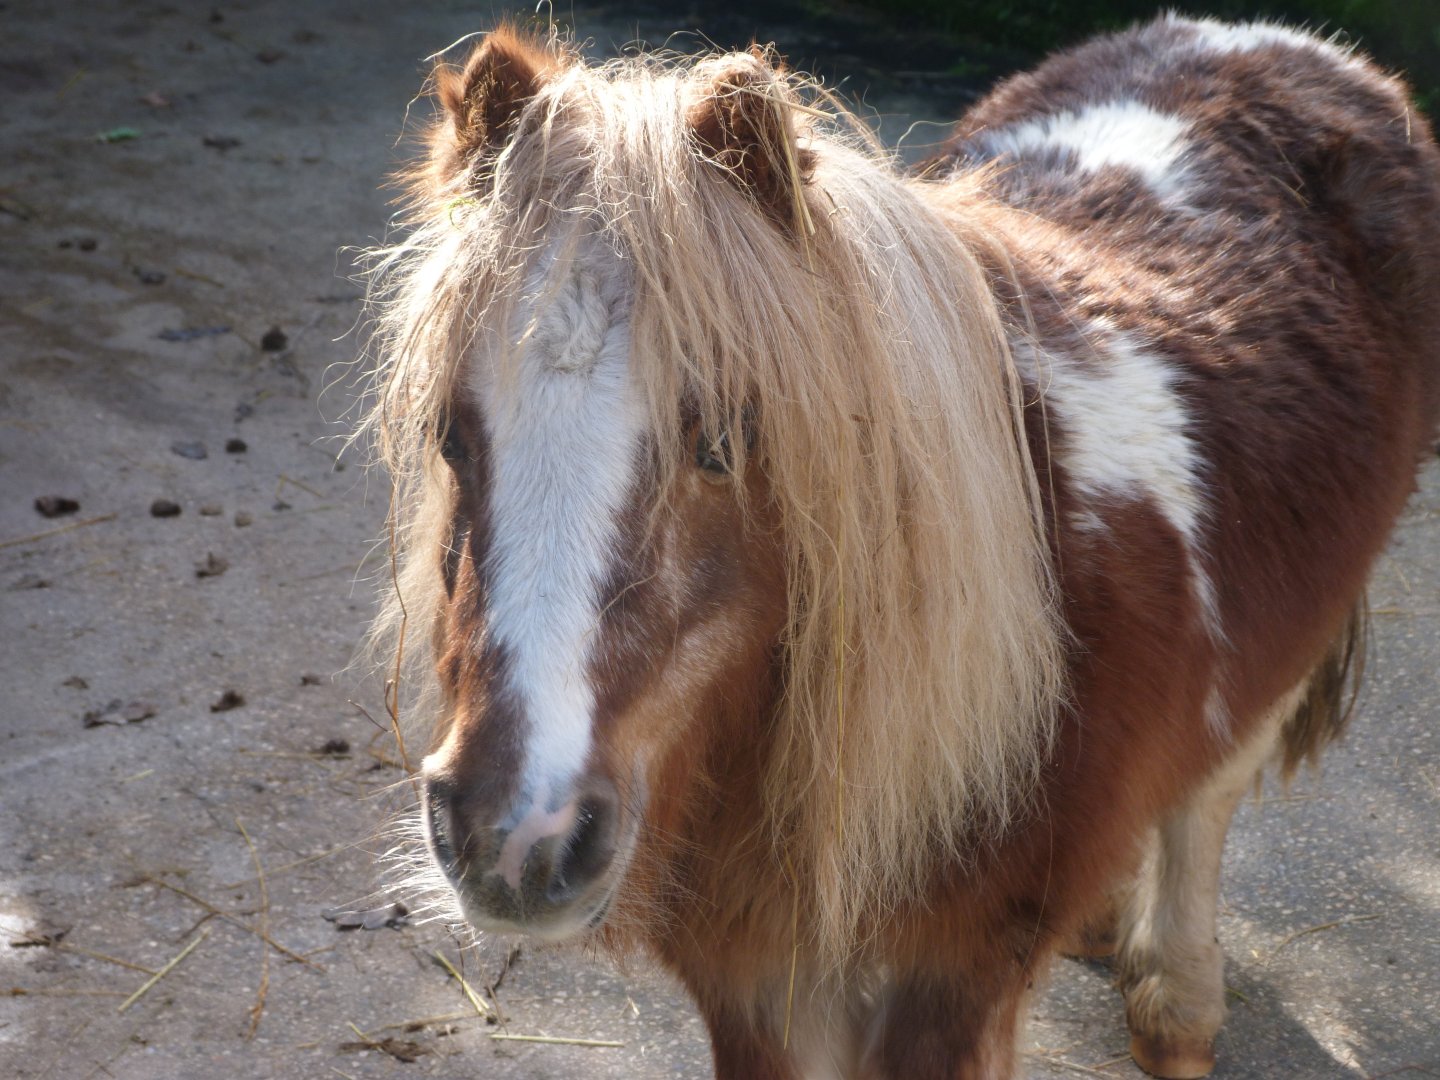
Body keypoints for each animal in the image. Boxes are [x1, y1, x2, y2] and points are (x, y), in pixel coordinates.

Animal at [359, 14, 1440, 1078]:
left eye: (722, 445)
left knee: (1206, 797)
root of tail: (1276, 42)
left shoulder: (954, 983)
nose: (512, 835)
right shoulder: (754, 978)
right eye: (451, 436)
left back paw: (1177, 1007)